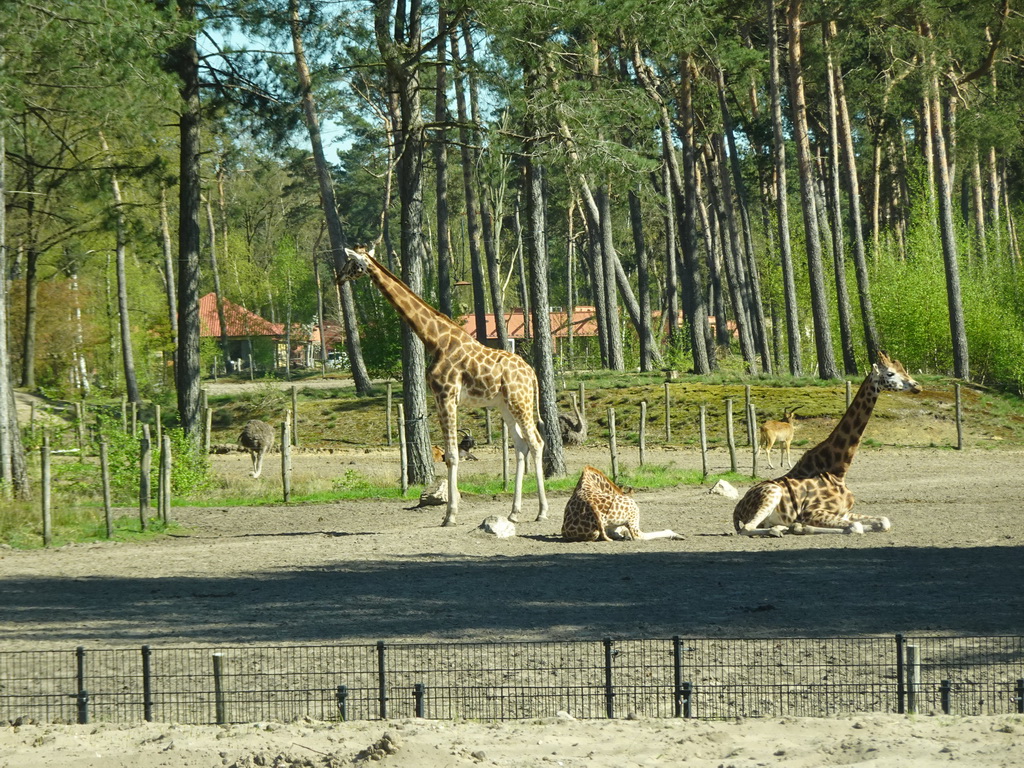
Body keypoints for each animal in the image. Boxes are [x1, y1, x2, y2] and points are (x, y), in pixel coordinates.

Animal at [335, 246, 548, 528]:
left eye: (351, 262)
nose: (338, 278)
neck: (434, 340)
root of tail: (532, 373)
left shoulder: (446, 395)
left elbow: (452, 455)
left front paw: (450, 516)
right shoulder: (438, 397)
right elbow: (450, 455)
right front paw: (450, 512)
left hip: (520, 401)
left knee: (536, 443)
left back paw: (542, 512)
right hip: (505, 405)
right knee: (522, 445)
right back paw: (514, 512)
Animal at [733, 354, 925, 536]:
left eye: (903, 369)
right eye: (890, 373)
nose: (917, 386)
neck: (837, 471)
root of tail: (738, 508)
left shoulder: (844, 512)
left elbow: (884, 521)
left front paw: (801, 527)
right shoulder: (811, 511)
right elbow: (856, 527)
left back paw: (788, 528)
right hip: (773, 493)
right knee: (747, 528)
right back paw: (780, 530)